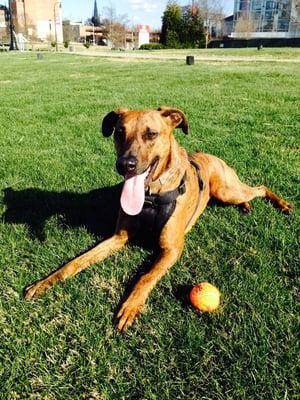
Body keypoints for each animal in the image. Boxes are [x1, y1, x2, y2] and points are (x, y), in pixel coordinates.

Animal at [24, 107, 292, 332]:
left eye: (151, 134)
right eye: (119, 132)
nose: (125, 165)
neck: (151, 196)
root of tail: (211, 156)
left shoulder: (171, 248)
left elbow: (146, 277)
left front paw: (130, 306)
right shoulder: (117, 237)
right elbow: (76, 262)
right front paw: (44, 282)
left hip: (228, 190)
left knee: (260, 187)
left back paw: (282, 204)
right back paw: (247, 206)